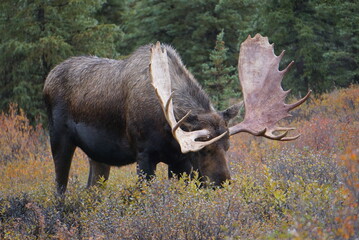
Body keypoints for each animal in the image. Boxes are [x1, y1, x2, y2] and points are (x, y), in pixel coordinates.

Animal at [43, 34, 310, 194]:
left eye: (227, 146)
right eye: (203, 149)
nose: (223, 182)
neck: (168, 128)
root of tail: (48, 78)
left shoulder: (178, 161)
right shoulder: (145, 154)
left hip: (98, 155)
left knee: (92, 190)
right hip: (59, 138)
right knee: (60, 188)